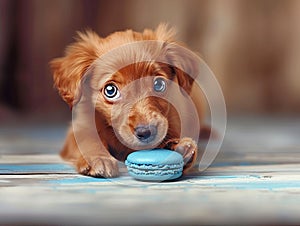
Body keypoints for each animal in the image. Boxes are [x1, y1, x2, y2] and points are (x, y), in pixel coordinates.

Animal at [50, 23, 207, 177]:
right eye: (110, 90)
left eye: (159, 84)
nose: (145, 132)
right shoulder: (79, 128)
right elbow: (87, 139)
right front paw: (98, 158)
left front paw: (177, 148)